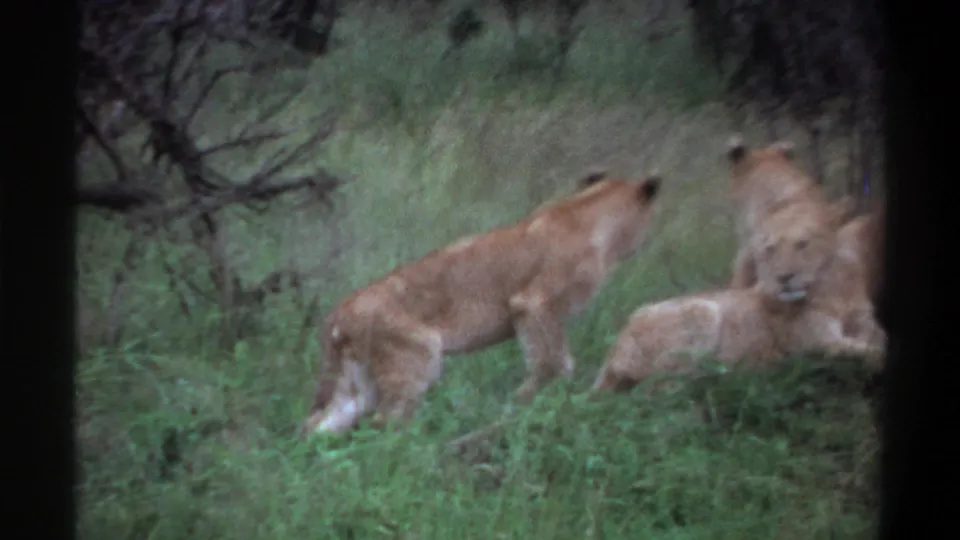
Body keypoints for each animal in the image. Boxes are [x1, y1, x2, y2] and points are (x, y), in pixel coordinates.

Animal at [300, 171, 664, 437]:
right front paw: (536, 400)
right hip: (419, 355)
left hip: (356, 380)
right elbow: (553, 359)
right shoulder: (533, 303)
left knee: (320, 423)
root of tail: (340, 310)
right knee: (386, 421)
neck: (590, 212)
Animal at [591, 197, 885, 394]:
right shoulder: (820, 343)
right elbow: (871, 352)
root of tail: (611, 354)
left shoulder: (864, 324)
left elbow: (877, 341)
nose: (783, 278)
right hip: (703, 311)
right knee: (661, 386)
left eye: (803, 244)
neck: (837, 290)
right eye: (769, 249)